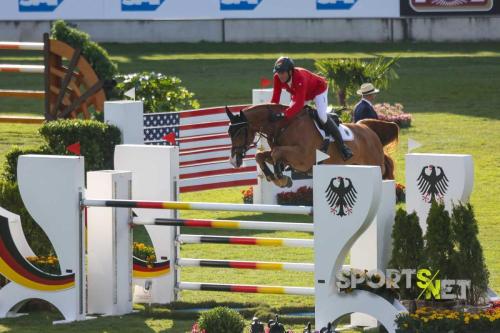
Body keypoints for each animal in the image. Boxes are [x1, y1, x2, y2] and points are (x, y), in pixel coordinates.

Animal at [227, 102, 398, 188]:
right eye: (229, 132)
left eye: (240, 132)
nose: (234, 161)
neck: (283, 125)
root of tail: (367, 128)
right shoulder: (285, 153)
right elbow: (261, 155)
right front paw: (274, 177)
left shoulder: (303, 158)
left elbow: (275, 153)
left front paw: (281, 178)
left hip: (374, 164)